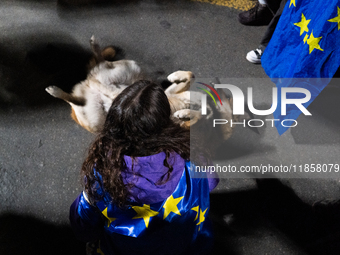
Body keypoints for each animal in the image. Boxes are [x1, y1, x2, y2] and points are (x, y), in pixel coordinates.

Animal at [45, 35, 239, 139]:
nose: (216, 86)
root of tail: (88, 84)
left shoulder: (188, 127)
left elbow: (197, 116)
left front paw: (186, 113)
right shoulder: (168, 92)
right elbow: (190, 76)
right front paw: (175, 77)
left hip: (95, 119)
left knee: (74, 99)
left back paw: (57, 91)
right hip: (128, 69)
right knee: (99, 63)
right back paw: (94, 48)